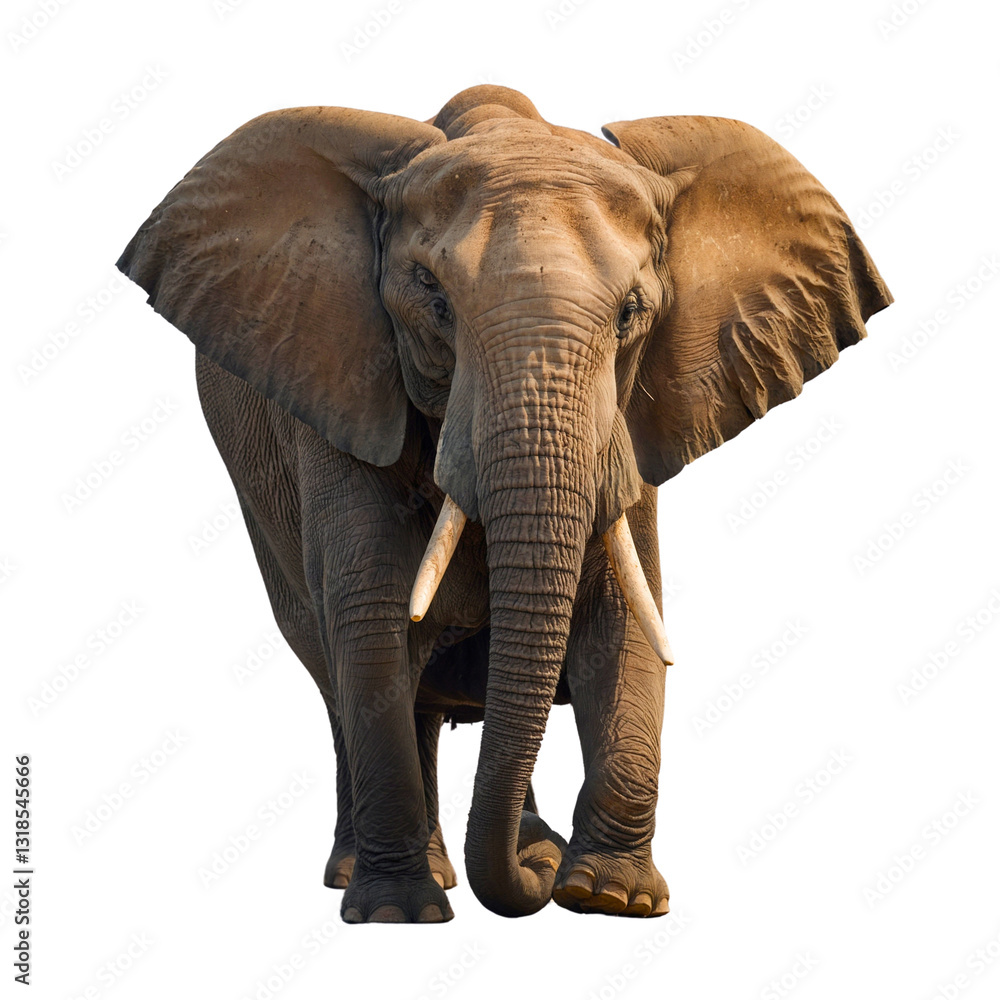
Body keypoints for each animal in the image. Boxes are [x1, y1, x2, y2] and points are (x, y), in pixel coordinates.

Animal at [117, 85, 891, 923]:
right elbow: (371, 618)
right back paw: (390, 870)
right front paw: (399, 913)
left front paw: (608, 896)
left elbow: (625, 614)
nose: (539, 883)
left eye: (631, 312)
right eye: (432, 298)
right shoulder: (338, 385)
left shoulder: (630, 427)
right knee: (337, 673)